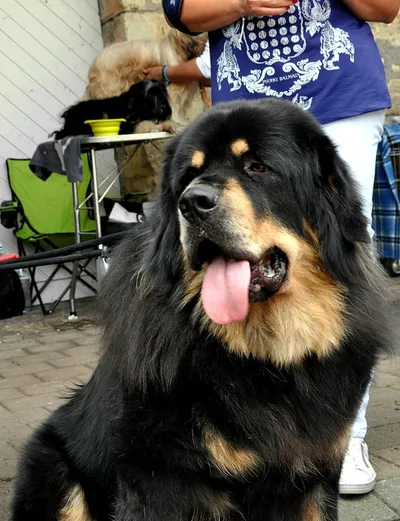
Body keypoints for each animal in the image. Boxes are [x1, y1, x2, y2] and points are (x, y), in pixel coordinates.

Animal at [12, 99, 388, 521]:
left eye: (258, 167)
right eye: (189, 176)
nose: (192, 203)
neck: (264, 358)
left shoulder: (316, 477)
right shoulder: (160, 479)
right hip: (55, 467)